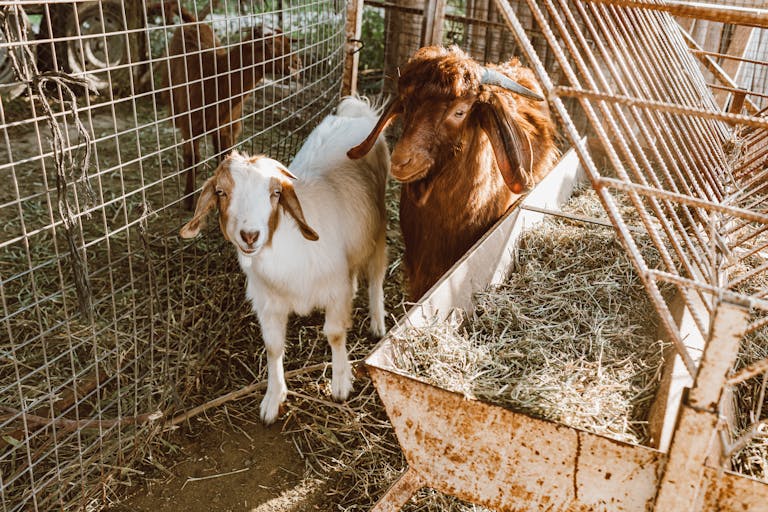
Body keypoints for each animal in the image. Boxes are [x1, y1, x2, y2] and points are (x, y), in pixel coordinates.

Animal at [160, 2, 302, 208]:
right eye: (270, 44)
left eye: (286, 41)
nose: (298, 63)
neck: (215, 77)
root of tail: (193, 23)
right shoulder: (190, 126)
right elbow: (192, 158)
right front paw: (188, 200)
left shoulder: (228, 126)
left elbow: (226, 157)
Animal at [180, 97, 390, 424]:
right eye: (221, 192)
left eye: (276, 193)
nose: (249, 235)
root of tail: (356, 112)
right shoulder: (268, 302)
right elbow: (273, 346)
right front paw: (273, 398)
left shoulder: (335, 290)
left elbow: (334, 334)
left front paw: (341, 383)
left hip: (377, 227)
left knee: (377, 273)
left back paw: (377, 321)